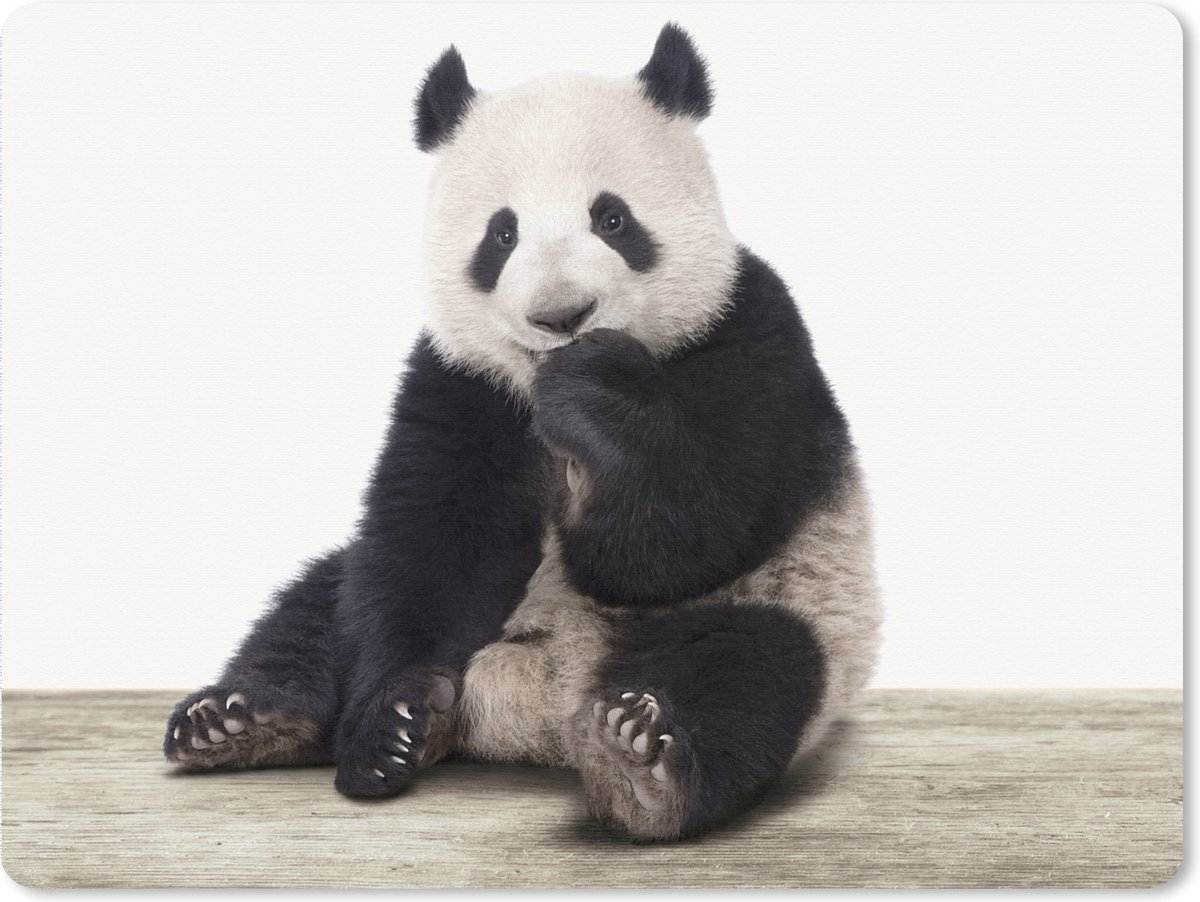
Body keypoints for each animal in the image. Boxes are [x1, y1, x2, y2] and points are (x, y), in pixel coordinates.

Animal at [164, 23, 882, 841]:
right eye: (501, 234)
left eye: (612, 219)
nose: (561, 315)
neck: (538, 386)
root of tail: (539, 710)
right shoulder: (462, 381)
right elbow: (433, 544)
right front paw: (393, 724)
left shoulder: (750, 331)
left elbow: (684, 536)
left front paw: (598, 395)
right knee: (319, 603)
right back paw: (245, 720)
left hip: (798, 604)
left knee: (748, 670)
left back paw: (641, 762)